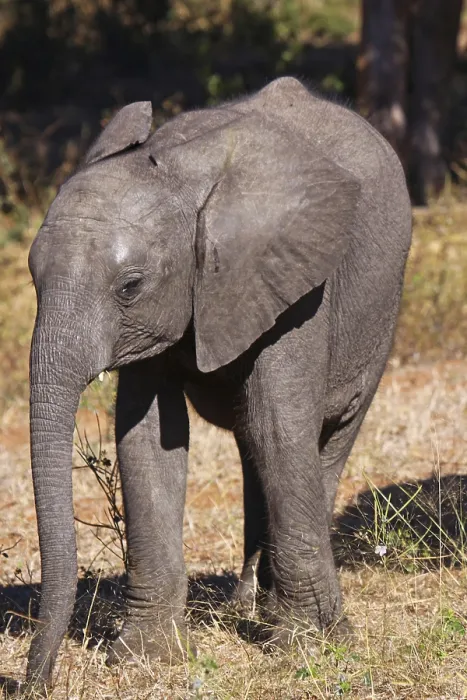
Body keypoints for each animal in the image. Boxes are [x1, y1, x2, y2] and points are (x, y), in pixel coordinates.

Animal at [25, 76, 412, 691]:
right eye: (32, 275)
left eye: (130, 286)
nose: (33, 682)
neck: (180, 176)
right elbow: (146, 440)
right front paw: (146, 656)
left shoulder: (295, 281)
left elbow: (280, 427)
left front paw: (306, 648)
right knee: (252, 443)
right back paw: (246, 606)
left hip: (380, 312)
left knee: (320, 439)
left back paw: (279, 612)